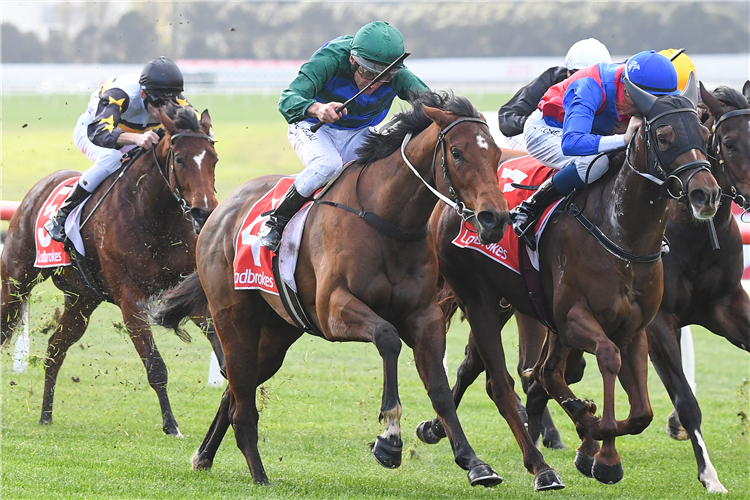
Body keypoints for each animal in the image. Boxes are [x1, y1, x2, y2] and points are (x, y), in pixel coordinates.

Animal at [0, 107, 219, 436]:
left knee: (55, 349)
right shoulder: (131, 300)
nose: (204, 213)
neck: (154, 215)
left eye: (214, 158)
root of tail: (37, 189)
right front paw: (171, 426)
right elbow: (155, 366)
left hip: (82, 300)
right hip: (16, 281)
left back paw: (46, 415)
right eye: (180, 159)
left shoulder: (185, 293)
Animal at [151, 91, 540, 488]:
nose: (495, 219)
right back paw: (258, 474)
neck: (388, 221)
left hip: (278, 332)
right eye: (458, 153)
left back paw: (204, 455)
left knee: (236, 390)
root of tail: (219, 212)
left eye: (495, 153)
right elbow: (387, 338)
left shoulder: (424, 316)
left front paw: (473, 462)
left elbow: (441, 390)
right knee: (241, 395)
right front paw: (390, 439)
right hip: (233, 318)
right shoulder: (334, 310)